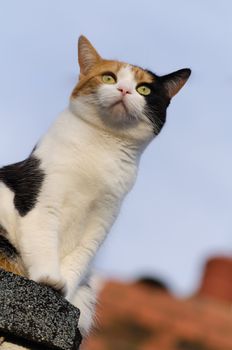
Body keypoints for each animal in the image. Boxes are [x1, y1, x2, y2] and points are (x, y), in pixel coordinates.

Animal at [0, 35, 191, 336]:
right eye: (109, 77)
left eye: (144, 89)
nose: (124, 90)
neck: (103, 144)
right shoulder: (43, 197)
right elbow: (43, 240)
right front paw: (49, 279)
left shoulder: (102, 218)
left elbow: (79, 259)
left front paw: (63, 294)